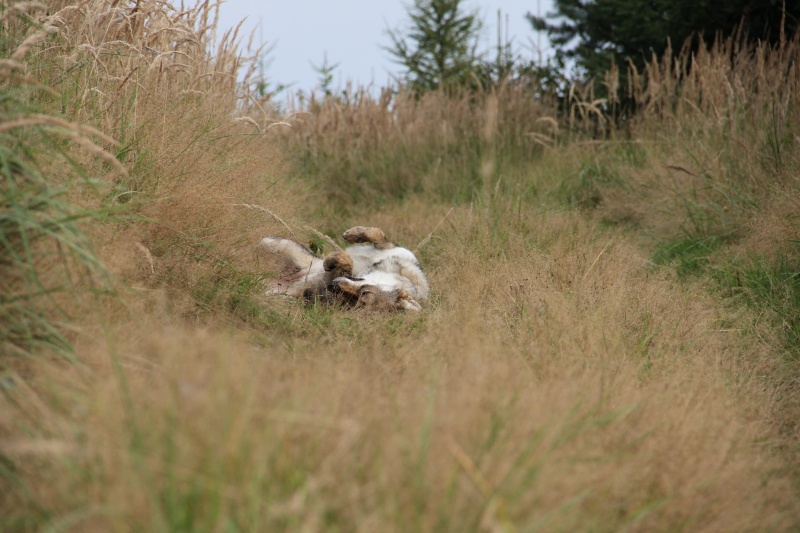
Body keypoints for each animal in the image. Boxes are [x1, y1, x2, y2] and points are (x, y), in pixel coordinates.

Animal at [260, 225, 432, 310]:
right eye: (364, 292)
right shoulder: (394, 248)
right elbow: (376, 233)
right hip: (269, 242)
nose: (332, 286)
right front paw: (353, 234)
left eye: (357, 300)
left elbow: (345, 261)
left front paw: (330, 261)